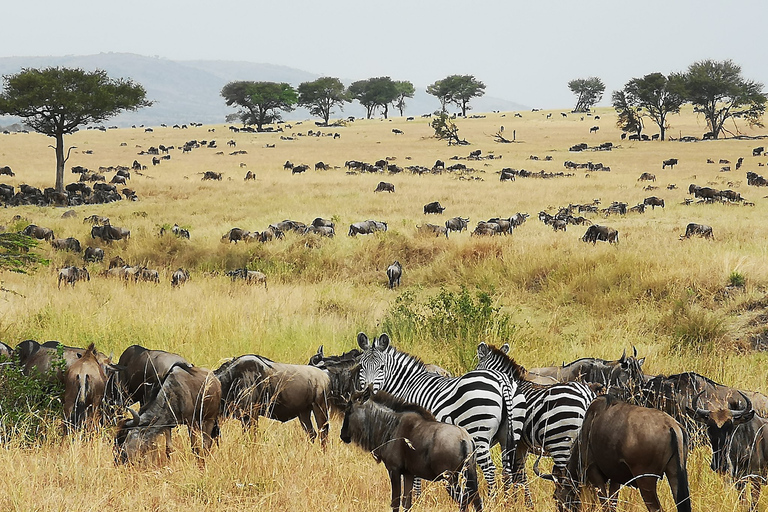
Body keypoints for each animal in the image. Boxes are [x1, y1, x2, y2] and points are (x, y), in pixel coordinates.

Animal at [356, 332, 528, 492]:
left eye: (382, 367)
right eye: (361, 367)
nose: (367, 392)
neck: (406, 384)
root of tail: (502, 380)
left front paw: (415, 498)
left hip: (478, 431)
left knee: (490, 469)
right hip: (510, 434)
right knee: (508, 469)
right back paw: (507, 500)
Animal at [476, 342, 596, 506]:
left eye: (477, 368)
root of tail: (585, 396)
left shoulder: (514, 442)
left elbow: (514, 473)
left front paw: (513, 502)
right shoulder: (523, 445)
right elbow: (519, 473)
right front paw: (521, 502)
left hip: (561, 443)